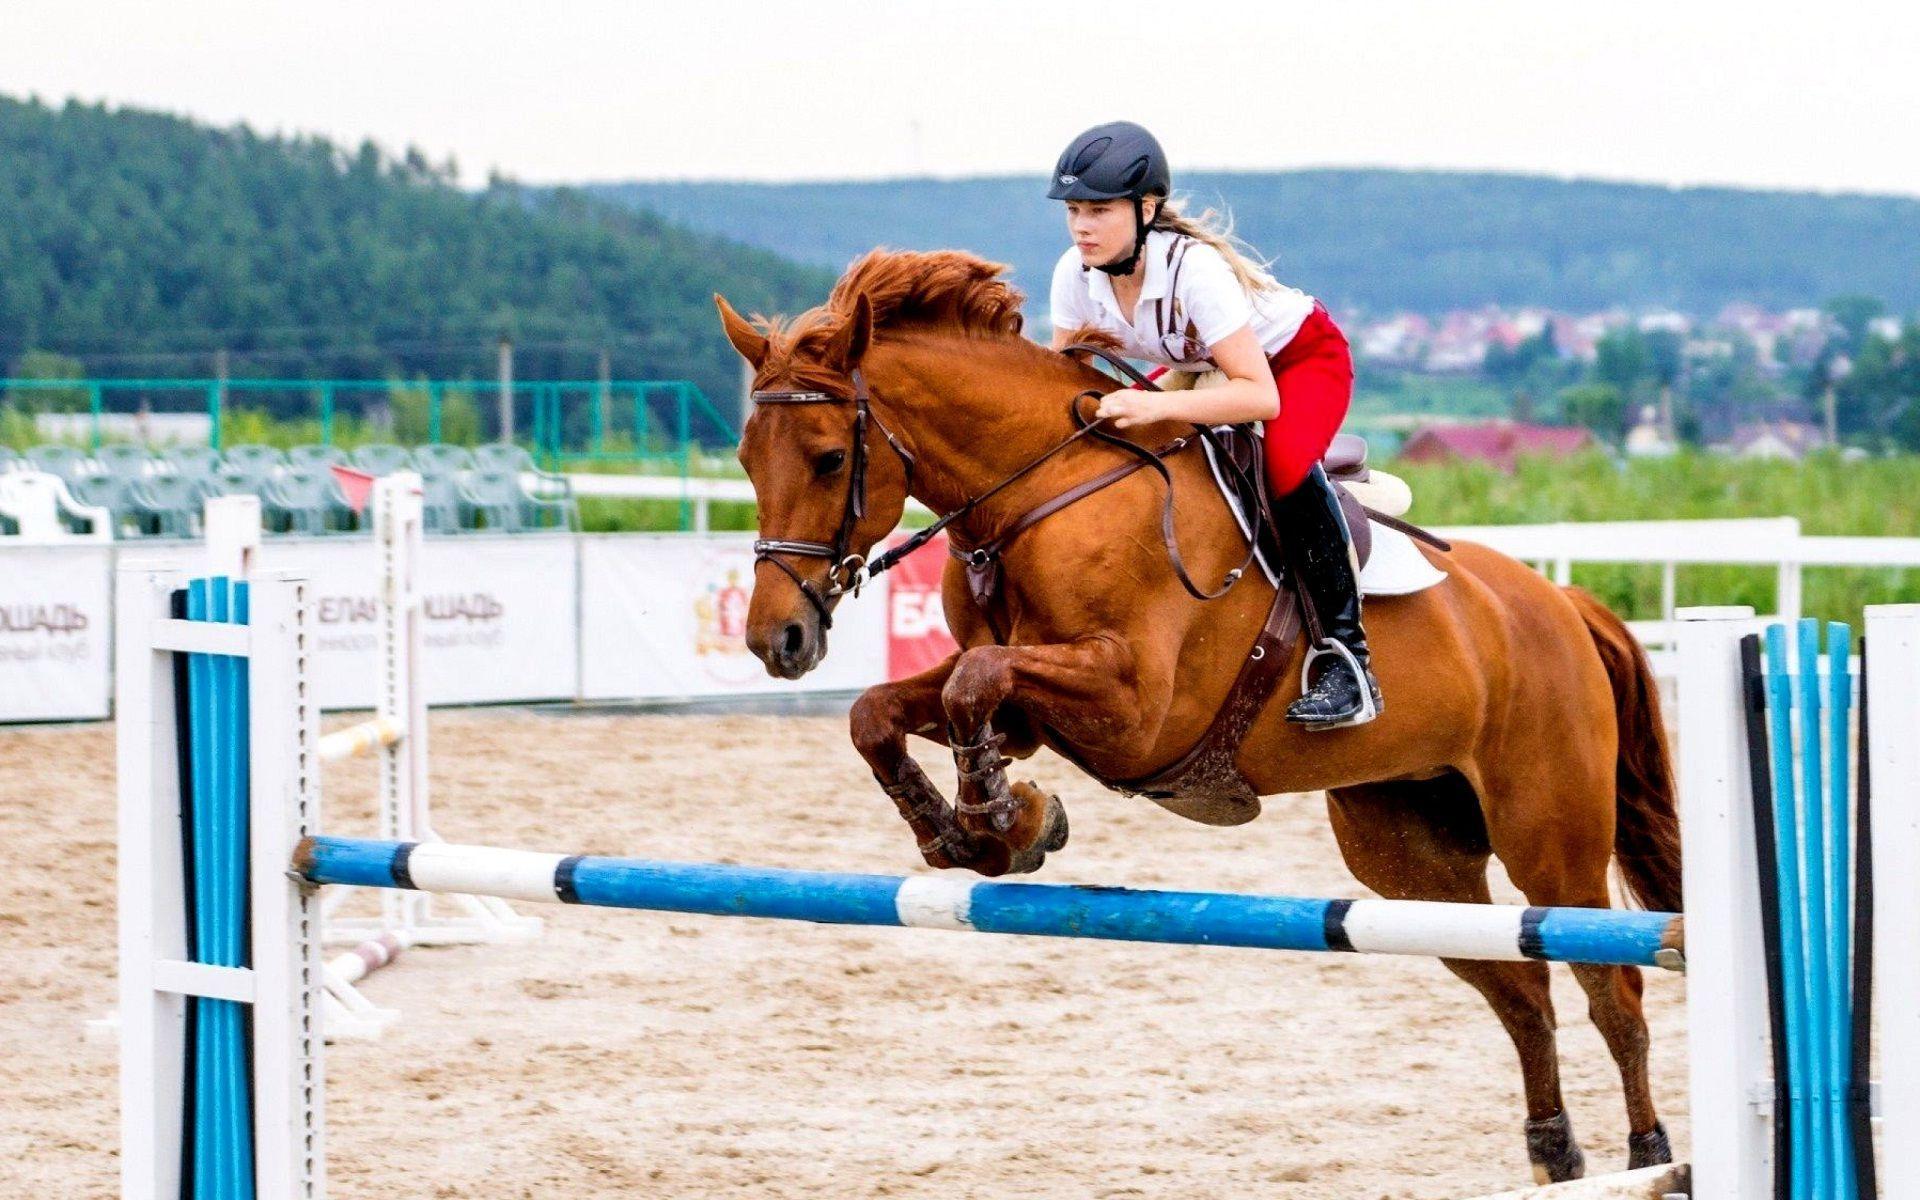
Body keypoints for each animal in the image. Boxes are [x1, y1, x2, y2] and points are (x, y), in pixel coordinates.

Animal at [713, 249, 1682, 1185]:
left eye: (830, 458)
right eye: (747, 459)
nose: (778, 639)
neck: (1047, 488)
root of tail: (1562, 604)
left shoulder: (1134, 707)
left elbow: (972, 687)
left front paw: (1002, 820)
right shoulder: (1030, 711)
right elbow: (888, 712)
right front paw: (979, 830)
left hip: (1548, 836)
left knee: (1612, 992)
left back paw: (1650, 1155)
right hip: (1411, 854)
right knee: (1521, 994)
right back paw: (1555, 1155)